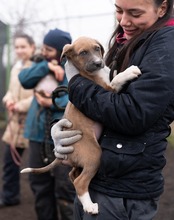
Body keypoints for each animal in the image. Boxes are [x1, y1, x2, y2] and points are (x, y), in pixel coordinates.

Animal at [20, 37, 141, 214]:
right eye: (83, 53)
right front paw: (130, 71)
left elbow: (114, 75)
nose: (98, 63)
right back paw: (90, 207)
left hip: (80, 163)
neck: (91, 73)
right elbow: (116, 79)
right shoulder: (107, 91)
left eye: (97, 48)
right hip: (94, 154)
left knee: (72, 175)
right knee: (80, 182)